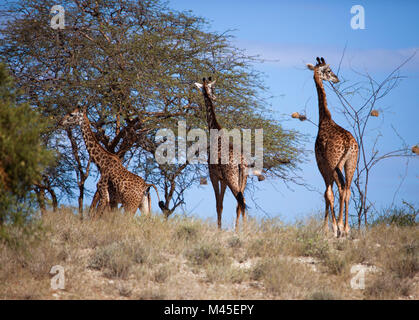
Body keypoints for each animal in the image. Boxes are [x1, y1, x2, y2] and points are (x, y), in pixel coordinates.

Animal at [195, 77, 264, 230]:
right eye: (211, 88)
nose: (214, 96)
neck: (215, 132)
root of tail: (241, 164)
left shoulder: (214, 175)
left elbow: (218, 205)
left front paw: (219, 230)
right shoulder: (223, 180)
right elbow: (222, 204)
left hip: (232, 178)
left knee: (241, 201)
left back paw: (242, 230)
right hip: (242, 179)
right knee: (241, 202)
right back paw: (239, 230)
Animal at [306, 57, 360, 238]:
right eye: (328, 70)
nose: (336, 78)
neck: (324, 119)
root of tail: (349, 144)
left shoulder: (322, 163)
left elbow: (327, 194)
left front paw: (328, 228)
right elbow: (329, 193)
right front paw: (331, 227)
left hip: (335, 164)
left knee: (341, 189)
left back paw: (341, 228)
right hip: (351, 163)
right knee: (348, 189)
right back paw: (347, 228)